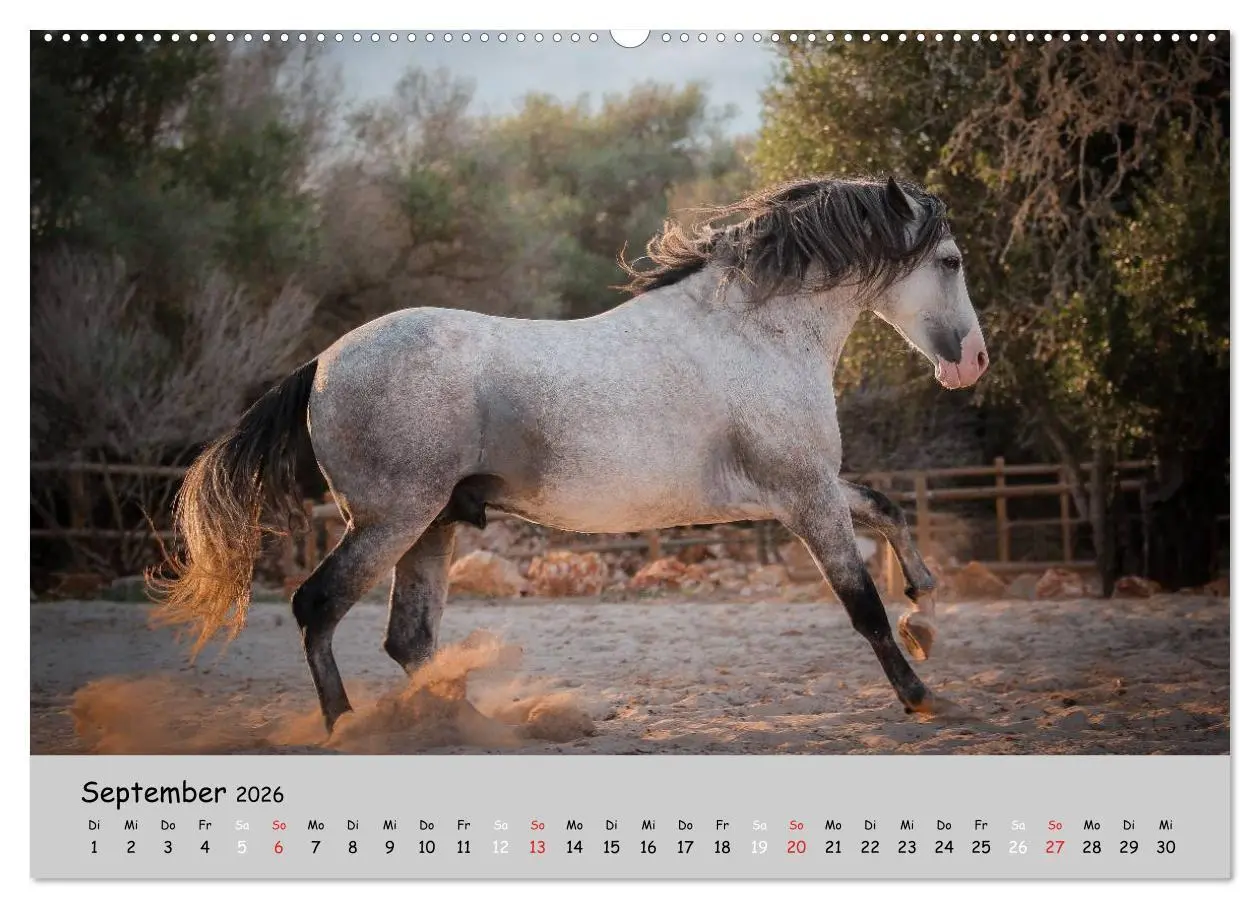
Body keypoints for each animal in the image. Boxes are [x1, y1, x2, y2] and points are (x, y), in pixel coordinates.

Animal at [150, 176, 989, 733]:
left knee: (409, 638)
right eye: (950, 261)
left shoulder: (805, 488)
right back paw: (352, 730)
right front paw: (921, 691)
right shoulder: (805, 495)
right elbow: (861, 602)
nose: (973, 362)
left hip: (430, 528)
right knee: (317, 608)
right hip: (392, 521)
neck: (755, 331)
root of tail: (322, 362)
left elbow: (889, 511)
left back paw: (477, 725)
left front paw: (926, 614)